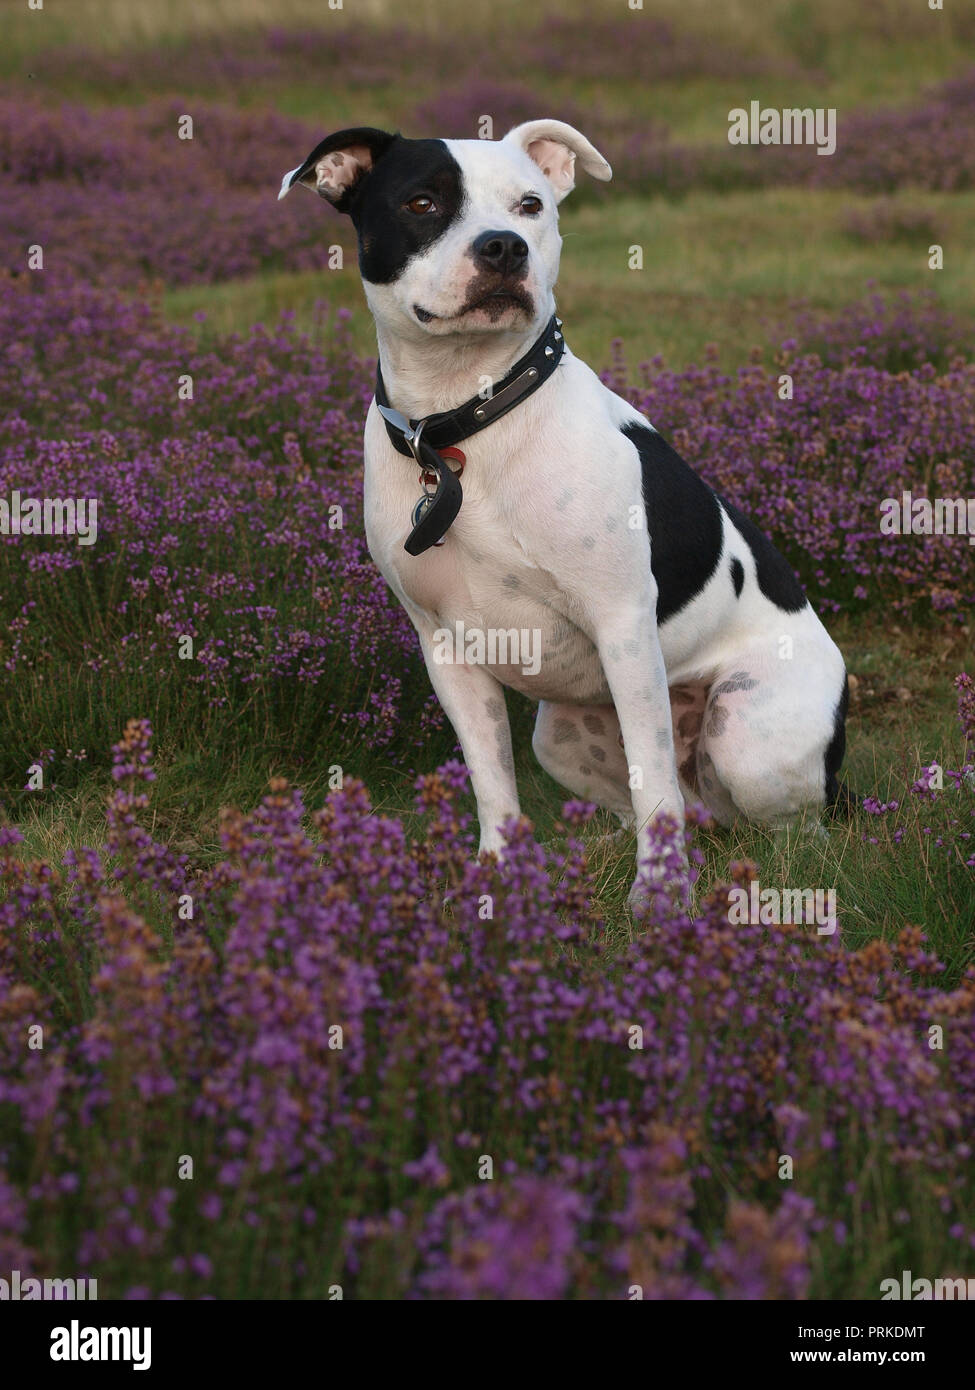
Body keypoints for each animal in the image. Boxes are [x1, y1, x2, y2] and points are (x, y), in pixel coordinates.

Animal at [279, 116, 845, 900]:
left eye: (530, 206)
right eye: (421, 203)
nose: (502, 248)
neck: (461, 424)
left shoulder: (622, 625)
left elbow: (651, 781)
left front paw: (661, 897)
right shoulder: (445, 650)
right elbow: (492, 779)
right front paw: (498, 880)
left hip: (745, 732)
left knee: (775, 822)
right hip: (561, 738)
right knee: (659, 802)